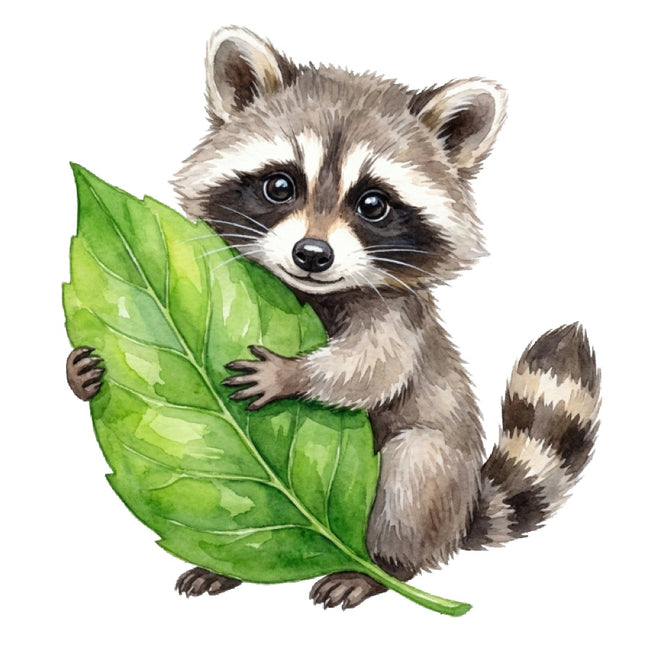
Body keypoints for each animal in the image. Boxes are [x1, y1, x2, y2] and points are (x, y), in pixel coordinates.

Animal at [67, 26, 601, 610]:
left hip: (435, 482)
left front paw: (293, 374)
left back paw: (381, 567)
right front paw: (78, 374)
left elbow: (374, 368)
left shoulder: (399, 315)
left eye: (373, 204)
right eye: (280, 186)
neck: (310, 293)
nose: (312, 255)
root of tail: (462, 513)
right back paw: (221, 566)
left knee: (414, 470)